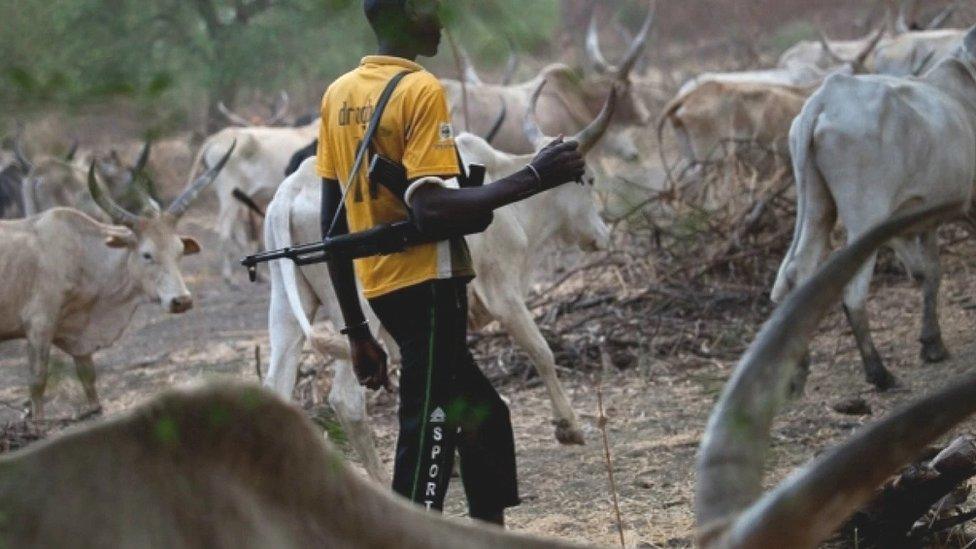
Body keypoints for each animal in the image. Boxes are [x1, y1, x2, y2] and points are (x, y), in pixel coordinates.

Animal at [0, 143, 234, 418]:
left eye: (179, 251)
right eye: (147, 254)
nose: (182, 301)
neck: (83, 253)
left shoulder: (79, 337)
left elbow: (88, 379)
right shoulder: (39, 326)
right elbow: (37, 384)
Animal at [772, 25, 976, 390]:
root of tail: (825, 98)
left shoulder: (926, 219)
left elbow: (931, 273)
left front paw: (932, 344)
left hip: (817, 208)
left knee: (795, 273)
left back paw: (797, 371)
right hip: (865, 219)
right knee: (853, 292)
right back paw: (879, 373)